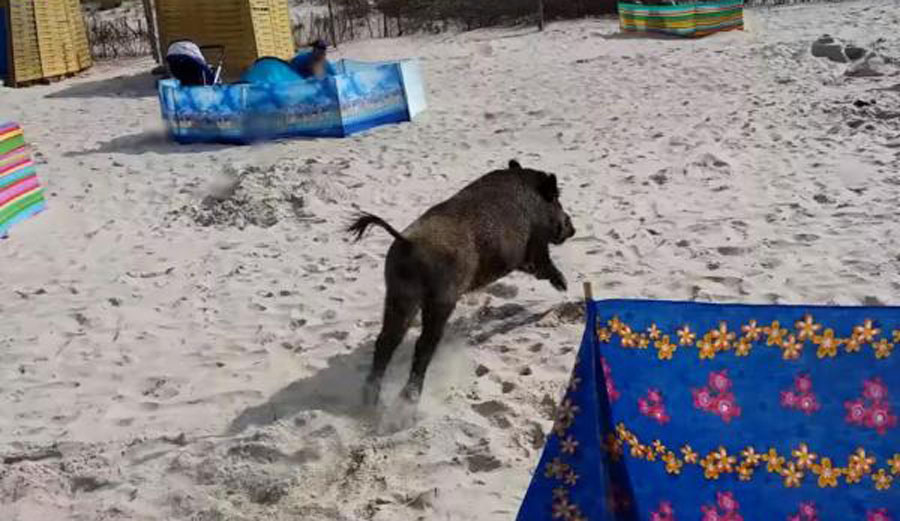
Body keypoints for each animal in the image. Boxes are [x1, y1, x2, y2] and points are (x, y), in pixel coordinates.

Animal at [347, 160, 576, 411]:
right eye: (556, 199)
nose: (572, 228)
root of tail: (407, 242)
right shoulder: (535, 246)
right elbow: (545, 265)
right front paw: (563, 285)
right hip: (441, 301)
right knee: (423, 345)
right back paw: (409, 401)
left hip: (398, 296)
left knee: (386, 342)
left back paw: (370, 400)